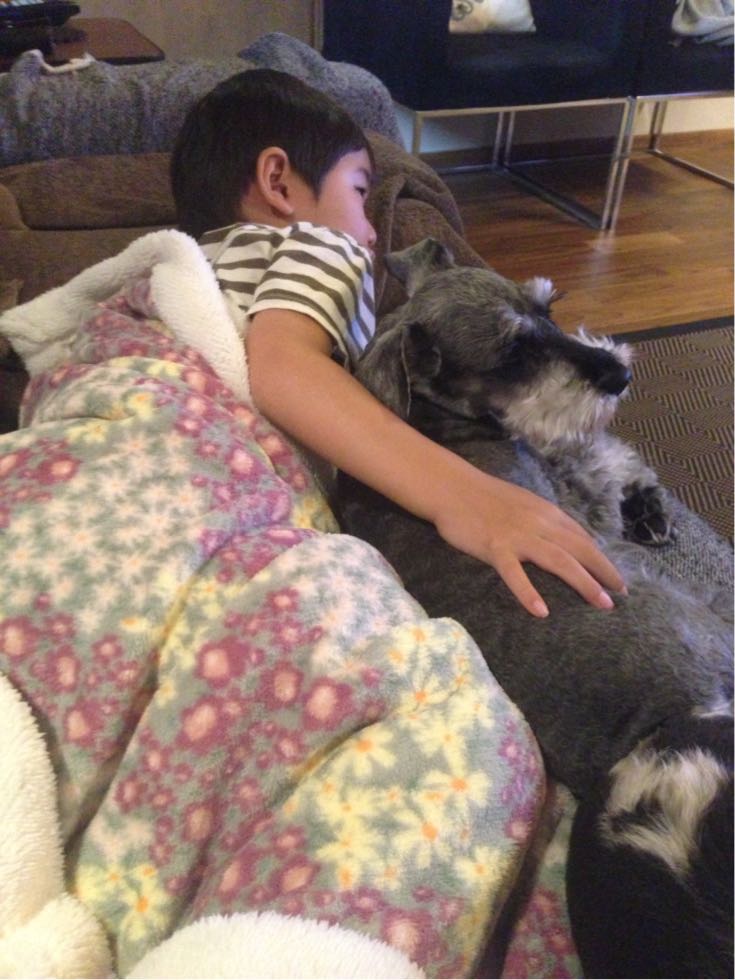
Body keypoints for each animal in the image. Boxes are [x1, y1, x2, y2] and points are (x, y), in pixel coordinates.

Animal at [337, 239, 733, 977]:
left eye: (547, 308)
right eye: (514, 352)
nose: (619, 372)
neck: (434, 429)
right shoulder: (579, 506)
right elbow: (597, 463)